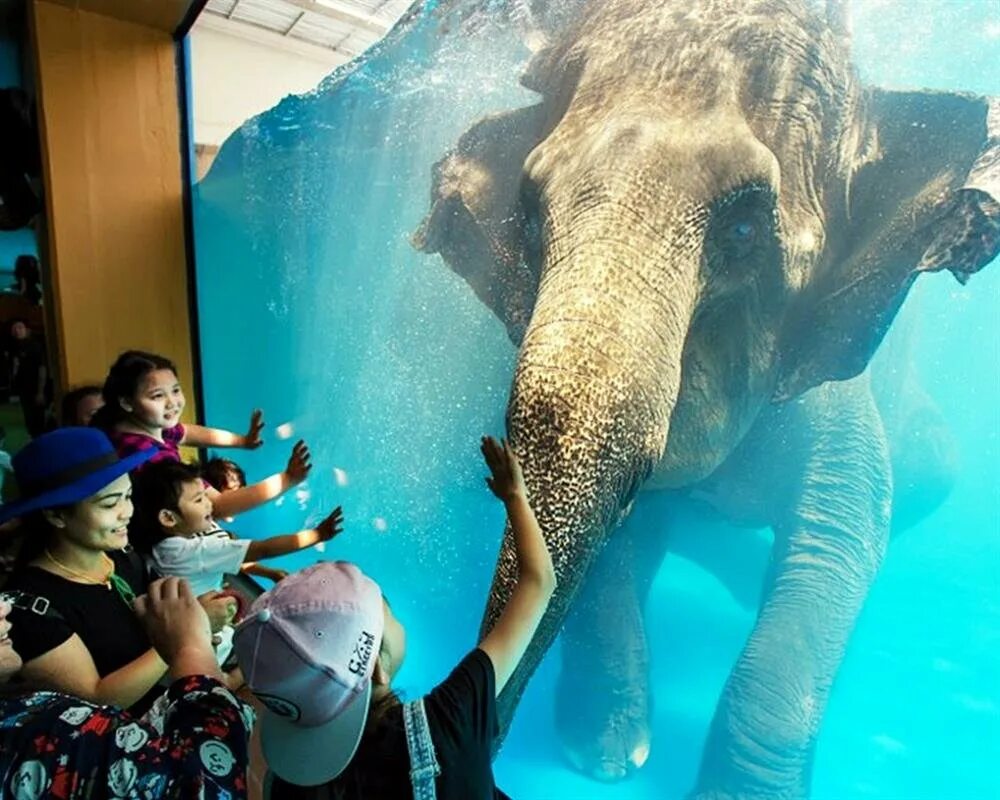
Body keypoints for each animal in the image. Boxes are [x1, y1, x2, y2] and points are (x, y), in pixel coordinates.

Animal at [410, 0, 996, 792]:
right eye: (528, 215)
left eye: (745, 227)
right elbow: (618, 548)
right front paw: (605, 755)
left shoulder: (837, 405)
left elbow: (841, 539)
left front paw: (732, 795)